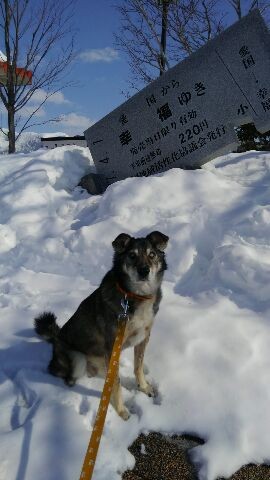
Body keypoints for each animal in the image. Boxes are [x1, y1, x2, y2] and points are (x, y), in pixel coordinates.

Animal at [34, 231, 169, 418]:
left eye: (152, 255)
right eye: (132, 255)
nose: (144, 271)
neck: (136, 297)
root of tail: (55, 339)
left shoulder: (143, 338)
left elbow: (138, 367)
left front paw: (143, 387)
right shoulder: (112, 347)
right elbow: (116, 383)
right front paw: (121, 411)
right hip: (78, 359)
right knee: (66, 375)